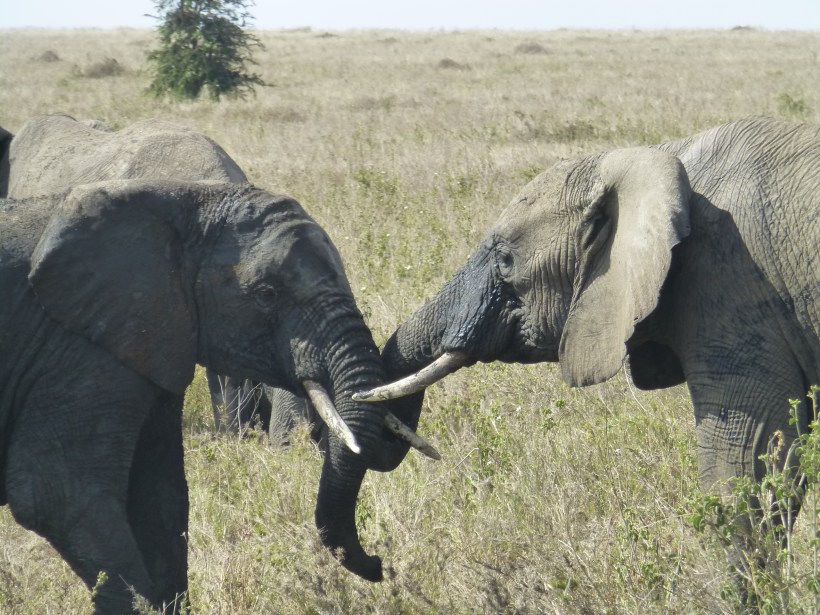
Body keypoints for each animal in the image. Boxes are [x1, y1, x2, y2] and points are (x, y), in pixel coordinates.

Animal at [0, 179, 433, 613]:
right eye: (266, 294)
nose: (379, 563)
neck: (182, 201)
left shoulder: (154, 338)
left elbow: (161, 499)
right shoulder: (77, 349)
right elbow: (56, 494)